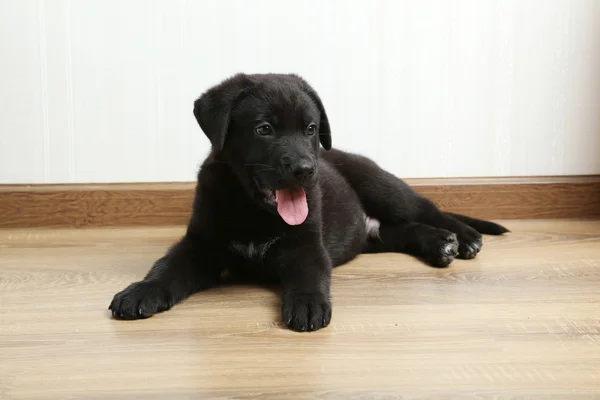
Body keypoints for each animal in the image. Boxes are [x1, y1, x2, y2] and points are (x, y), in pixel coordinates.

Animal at [108, 72, 506, 332]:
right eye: (264, 129)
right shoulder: (201, 244)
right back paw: (439, 244)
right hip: (366, 235)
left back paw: (462, 237)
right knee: (398, 230)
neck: (253, 210)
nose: (305, 169)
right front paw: (139, 291)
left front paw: (308, 303)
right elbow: (167, 268)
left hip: (381, 186)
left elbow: (309, 274)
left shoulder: (306, 244)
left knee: (426, 209)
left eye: (311, 129)